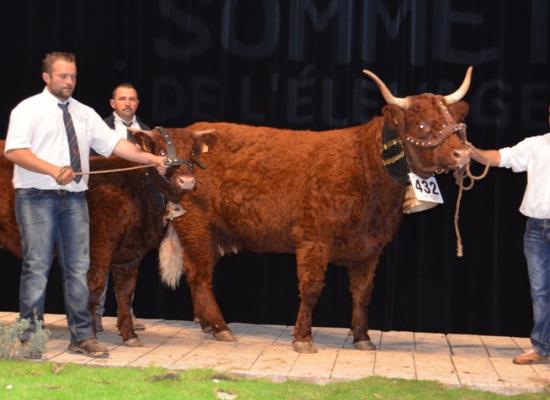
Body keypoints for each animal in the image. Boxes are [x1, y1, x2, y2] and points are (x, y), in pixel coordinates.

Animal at [158, 68, 474, 354]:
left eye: (456, 124)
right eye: (421, 125)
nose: (463, 154)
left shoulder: (371, 248)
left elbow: (363, 293)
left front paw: (362, 338)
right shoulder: (314, 239)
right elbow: (311, 289)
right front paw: (303, 338)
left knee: (195, 273)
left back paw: (207, 325)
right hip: (196, 223)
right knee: (201, 276)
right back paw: (221, 327)